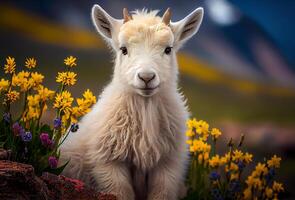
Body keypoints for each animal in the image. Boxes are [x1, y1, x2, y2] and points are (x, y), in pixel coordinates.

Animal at [60, 4, 204, 200]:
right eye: (123, 49)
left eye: (168, 49)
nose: (146, 77)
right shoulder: (109, 164)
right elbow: (121, 192)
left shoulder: (168, 167)